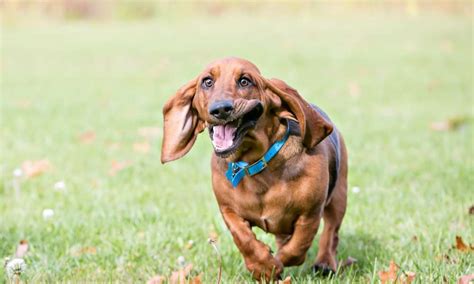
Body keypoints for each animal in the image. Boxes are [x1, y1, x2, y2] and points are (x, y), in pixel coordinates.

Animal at [161, 57, 346, 282]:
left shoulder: (310, 214)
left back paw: (325, 264)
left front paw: (277, 263)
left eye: (244, 81)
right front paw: (263, 267)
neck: (255, 164)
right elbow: (244, 239)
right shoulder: (228, 210)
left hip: (338, 198)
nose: (221, 109)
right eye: (207, 82)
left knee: (331, 233)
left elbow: (297, 247)